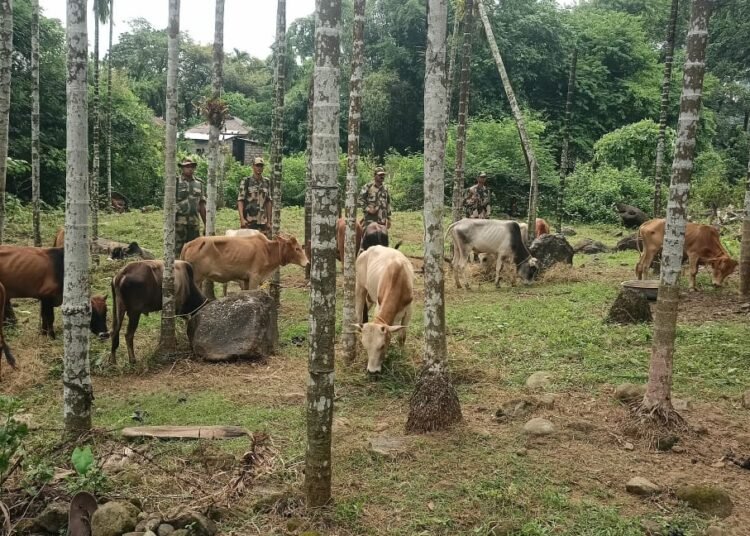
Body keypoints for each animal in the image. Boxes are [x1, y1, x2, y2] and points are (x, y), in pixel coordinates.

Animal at [180, 233, 308, 292]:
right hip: (197, 278)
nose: (307, 263)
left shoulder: (245, 279)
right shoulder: (254, 277)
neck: (267, 250)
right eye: (297, 248)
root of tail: (190, 243)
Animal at [353, 245, 414, 375]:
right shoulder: (379, 307)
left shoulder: (409, 310)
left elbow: (402, 337)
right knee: (358, 314)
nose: (372, 371)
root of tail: (366, 250)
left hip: (369, 296)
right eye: (366, 347)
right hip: (360, 286)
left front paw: (401, 355)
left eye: (382, 346)